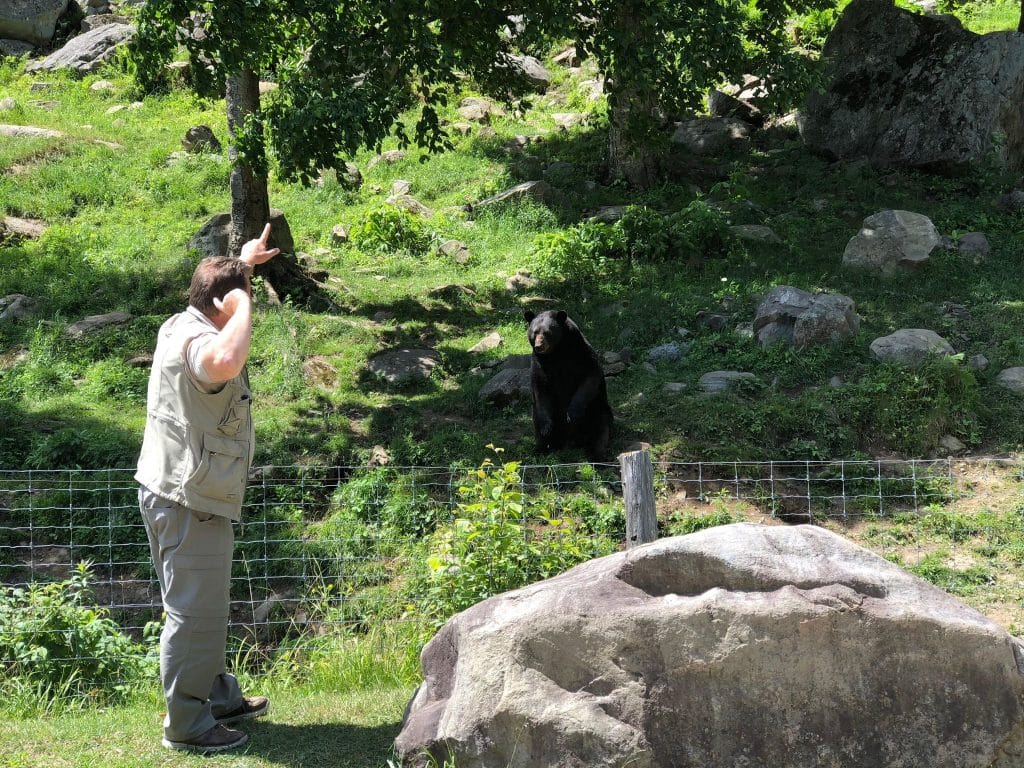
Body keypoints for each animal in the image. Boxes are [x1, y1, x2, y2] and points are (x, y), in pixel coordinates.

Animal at [524, 309, 610, 460]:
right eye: (534, 332)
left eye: (547, 332)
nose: (539, 346)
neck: (556, 352)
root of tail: (569, 442)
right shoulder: (539, 362)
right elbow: (540, 388)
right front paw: (546, 428)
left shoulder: (580, 352)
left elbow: (591, 375)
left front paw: (572, 414)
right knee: (537, 423)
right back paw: (539, 450)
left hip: (597, 408)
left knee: (601, 428)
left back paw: (597, 455)